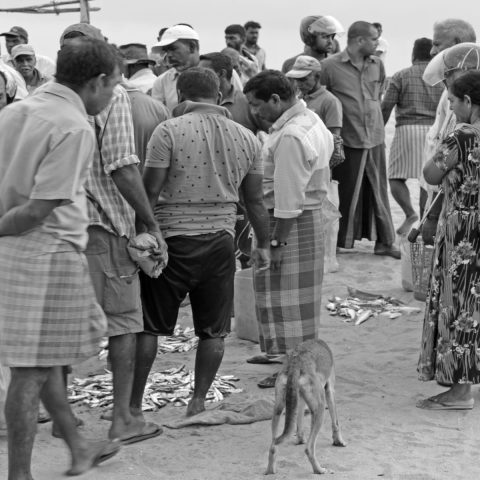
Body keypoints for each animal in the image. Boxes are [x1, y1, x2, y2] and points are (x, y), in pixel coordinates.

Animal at [266, 340, 344, 474]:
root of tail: (296, 363)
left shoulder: (299, 401)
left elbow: (299, 423)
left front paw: (300, 439)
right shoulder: (330, 390)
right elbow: (336, 422)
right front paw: (338, 441)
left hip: (277, 409)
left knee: (273, 446)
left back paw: (270, 470)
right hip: (320, 409)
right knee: (309, 449)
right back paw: (319, 469)